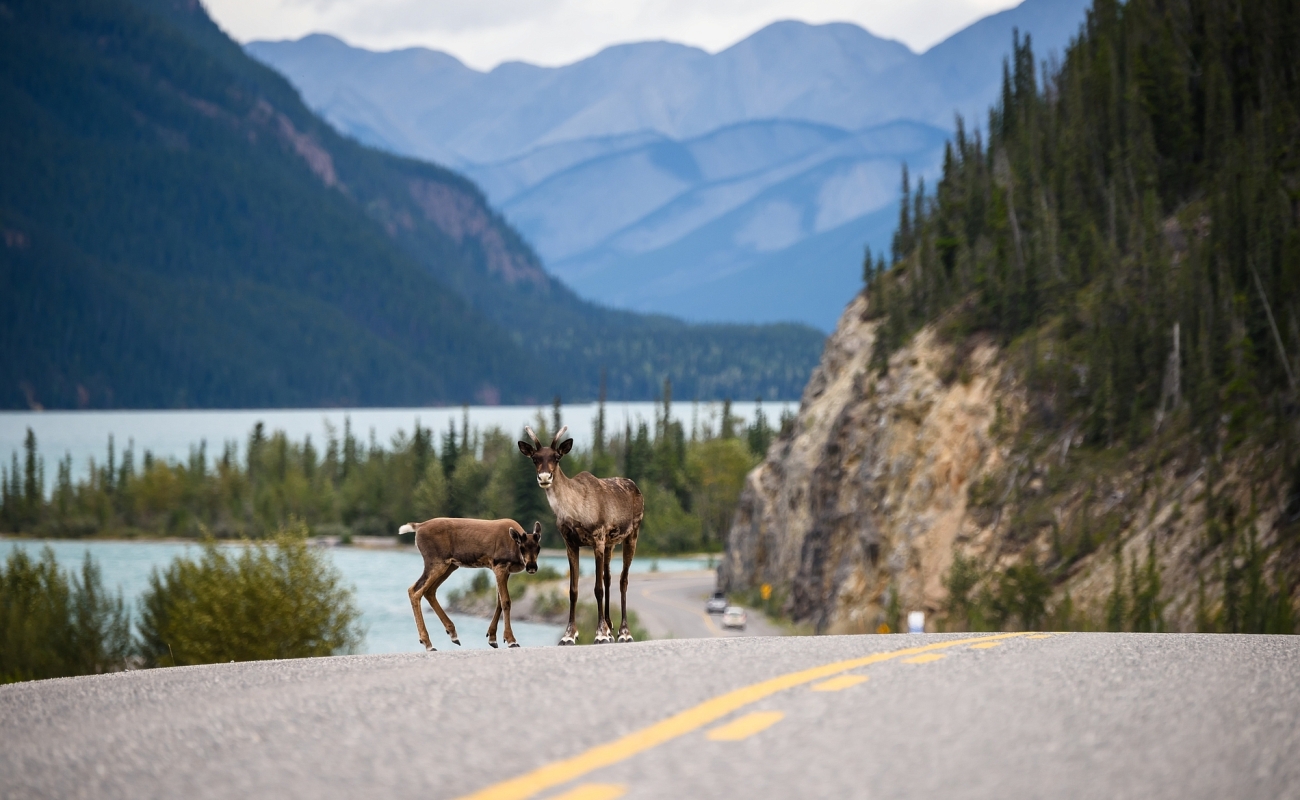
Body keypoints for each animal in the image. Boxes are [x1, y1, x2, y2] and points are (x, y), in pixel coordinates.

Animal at [400, 518, 542, 650]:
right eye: (522, 547)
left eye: (538, 548)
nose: (531, 567)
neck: (513, 546)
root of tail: (418, 526)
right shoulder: (499, 566)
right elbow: (506, 602)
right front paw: (511, 640)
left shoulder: (503, 571)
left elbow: (498, 602)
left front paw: (492, 638)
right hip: (436, 561)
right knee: (414, 590)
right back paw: (428, 643)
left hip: (450, 565)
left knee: (429, 591)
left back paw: (452, 634)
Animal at [518, 425, 644, 645]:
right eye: (534, 458)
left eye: (557, 457)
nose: (544, 477)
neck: (573, 510)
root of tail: (637, 488)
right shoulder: (571, 543)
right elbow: (573, 590)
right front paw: (569, 635)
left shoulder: (597, 539)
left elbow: (597, 588)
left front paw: (599, 633)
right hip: (611, 543)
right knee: (609, 577)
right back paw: (611, 628)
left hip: (631, 534)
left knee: (623, 580)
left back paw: (624, 632)